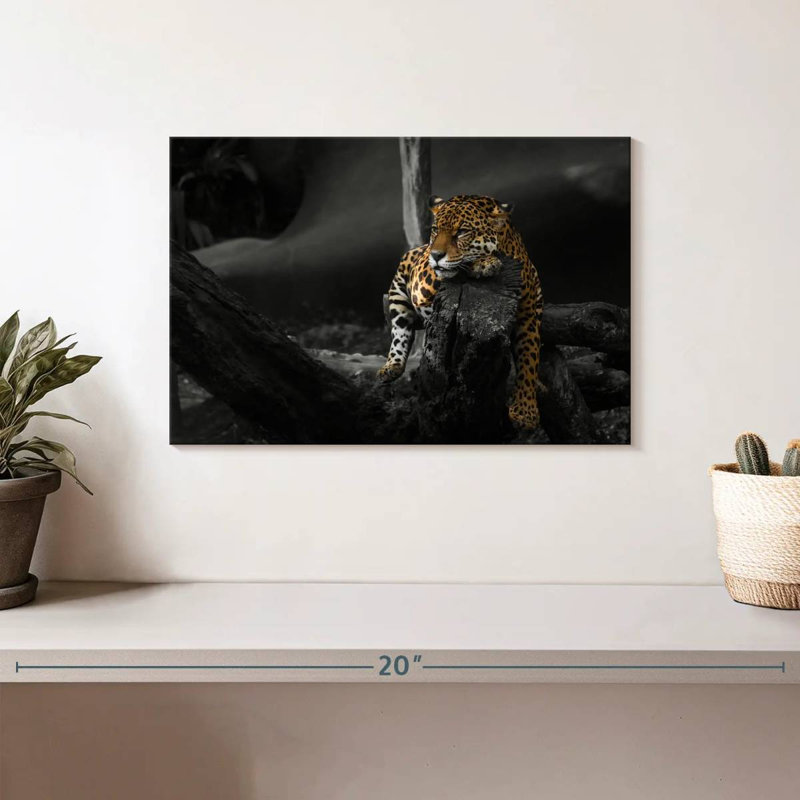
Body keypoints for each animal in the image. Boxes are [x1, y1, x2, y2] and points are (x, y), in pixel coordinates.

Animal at [377, 194, 543, 429]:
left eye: (462, 232)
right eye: (435, 230)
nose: (436, 254)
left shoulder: (527, 315)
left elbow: (529, 358)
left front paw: (525, 412)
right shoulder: (423, 277)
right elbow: (456, 268)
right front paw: (485, 263)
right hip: (401, 288)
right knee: (400, 330)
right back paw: (392, 366)